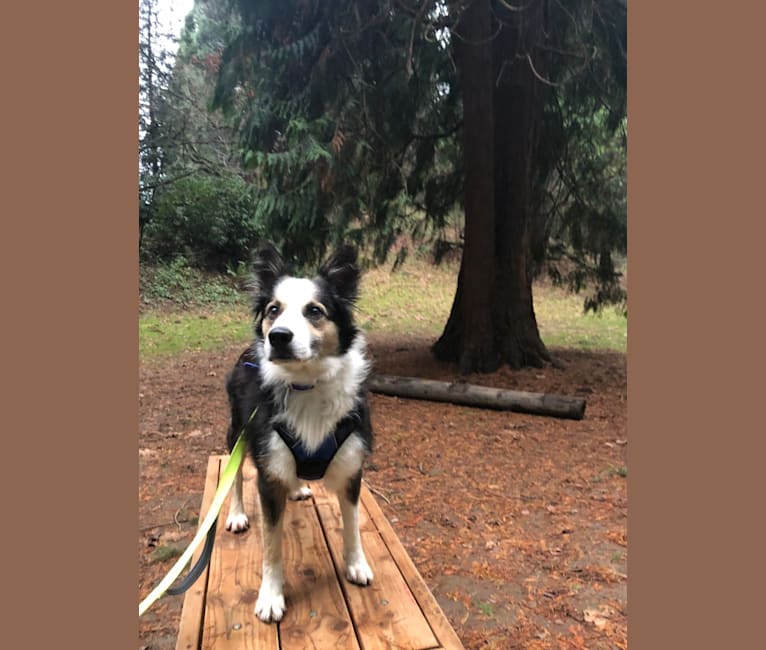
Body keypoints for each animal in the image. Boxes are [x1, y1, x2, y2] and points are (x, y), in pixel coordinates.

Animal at [222, 242, 376, 624]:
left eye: (314, 311)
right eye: (274, 310)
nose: (277, 336)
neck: (307, 383)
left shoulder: (351, 467)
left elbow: (352, 524)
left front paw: (356, 564)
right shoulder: (267, 474)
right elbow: (271, 545)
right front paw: (271, 596)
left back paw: (298, 487)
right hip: (237, 432)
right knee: (235, 476)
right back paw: (236, 514)